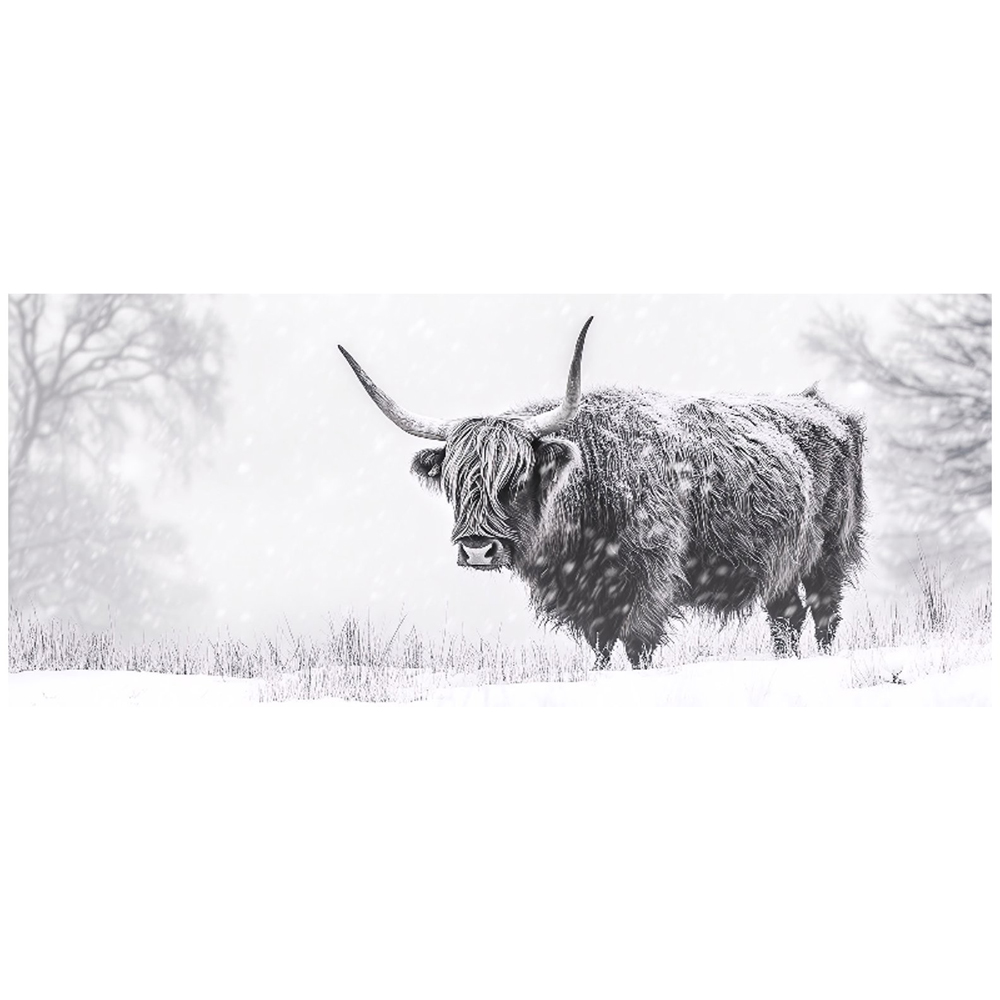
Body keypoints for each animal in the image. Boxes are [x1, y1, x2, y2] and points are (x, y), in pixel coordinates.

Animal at [339, 318, 866, 667]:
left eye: (516, 478)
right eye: (454, 482)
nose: (477, 549)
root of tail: (824, 407)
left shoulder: (653, 575)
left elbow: (636, 642)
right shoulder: (585, 596)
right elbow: (601, 645)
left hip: (830, 552)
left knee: (822, 614)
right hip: (782, 565)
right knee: (785, 617)